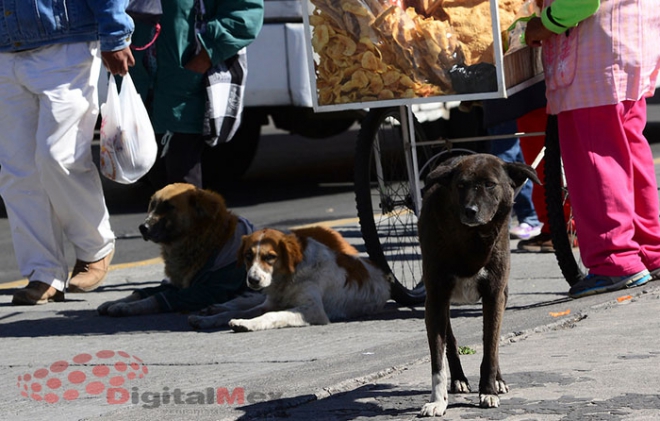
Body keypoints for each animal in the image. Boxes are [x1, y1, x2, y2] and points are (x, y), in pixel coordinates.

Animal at [98, 182, 253, 316]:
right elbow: (145, 292)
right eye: (152, 206)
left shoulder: (210, 290)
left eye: (168, 207)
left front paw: (126, 307)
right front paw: (117, 301)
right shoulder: (177, 284)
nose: (143, 228)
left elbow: (156, 298)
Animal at [186, 225, 392, 330]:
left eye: (270, 257)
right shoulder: (270, 302)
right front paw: (210, 319)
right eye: (248, 255)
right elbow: (237, 312)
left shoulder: (312, 310)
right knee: (240, 302)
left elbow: (272, 315)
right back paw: (211, 309)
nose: (253, 280)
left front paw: (246, 324)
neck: (286, 278)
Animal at [418, 153, 540, 416]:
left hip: (502, 294)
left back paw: (498, 381)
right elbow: (437, 359)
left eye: (490, 184)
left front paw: (489, 390)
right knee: (450, 341)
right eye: (460, 185)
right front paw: (438, 400)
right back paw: (459, 379)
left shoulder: (494, 295)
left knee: (491, 344)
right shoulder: (435, 298)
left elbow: (490, 348)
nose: (470, 211)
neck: (471, 238)